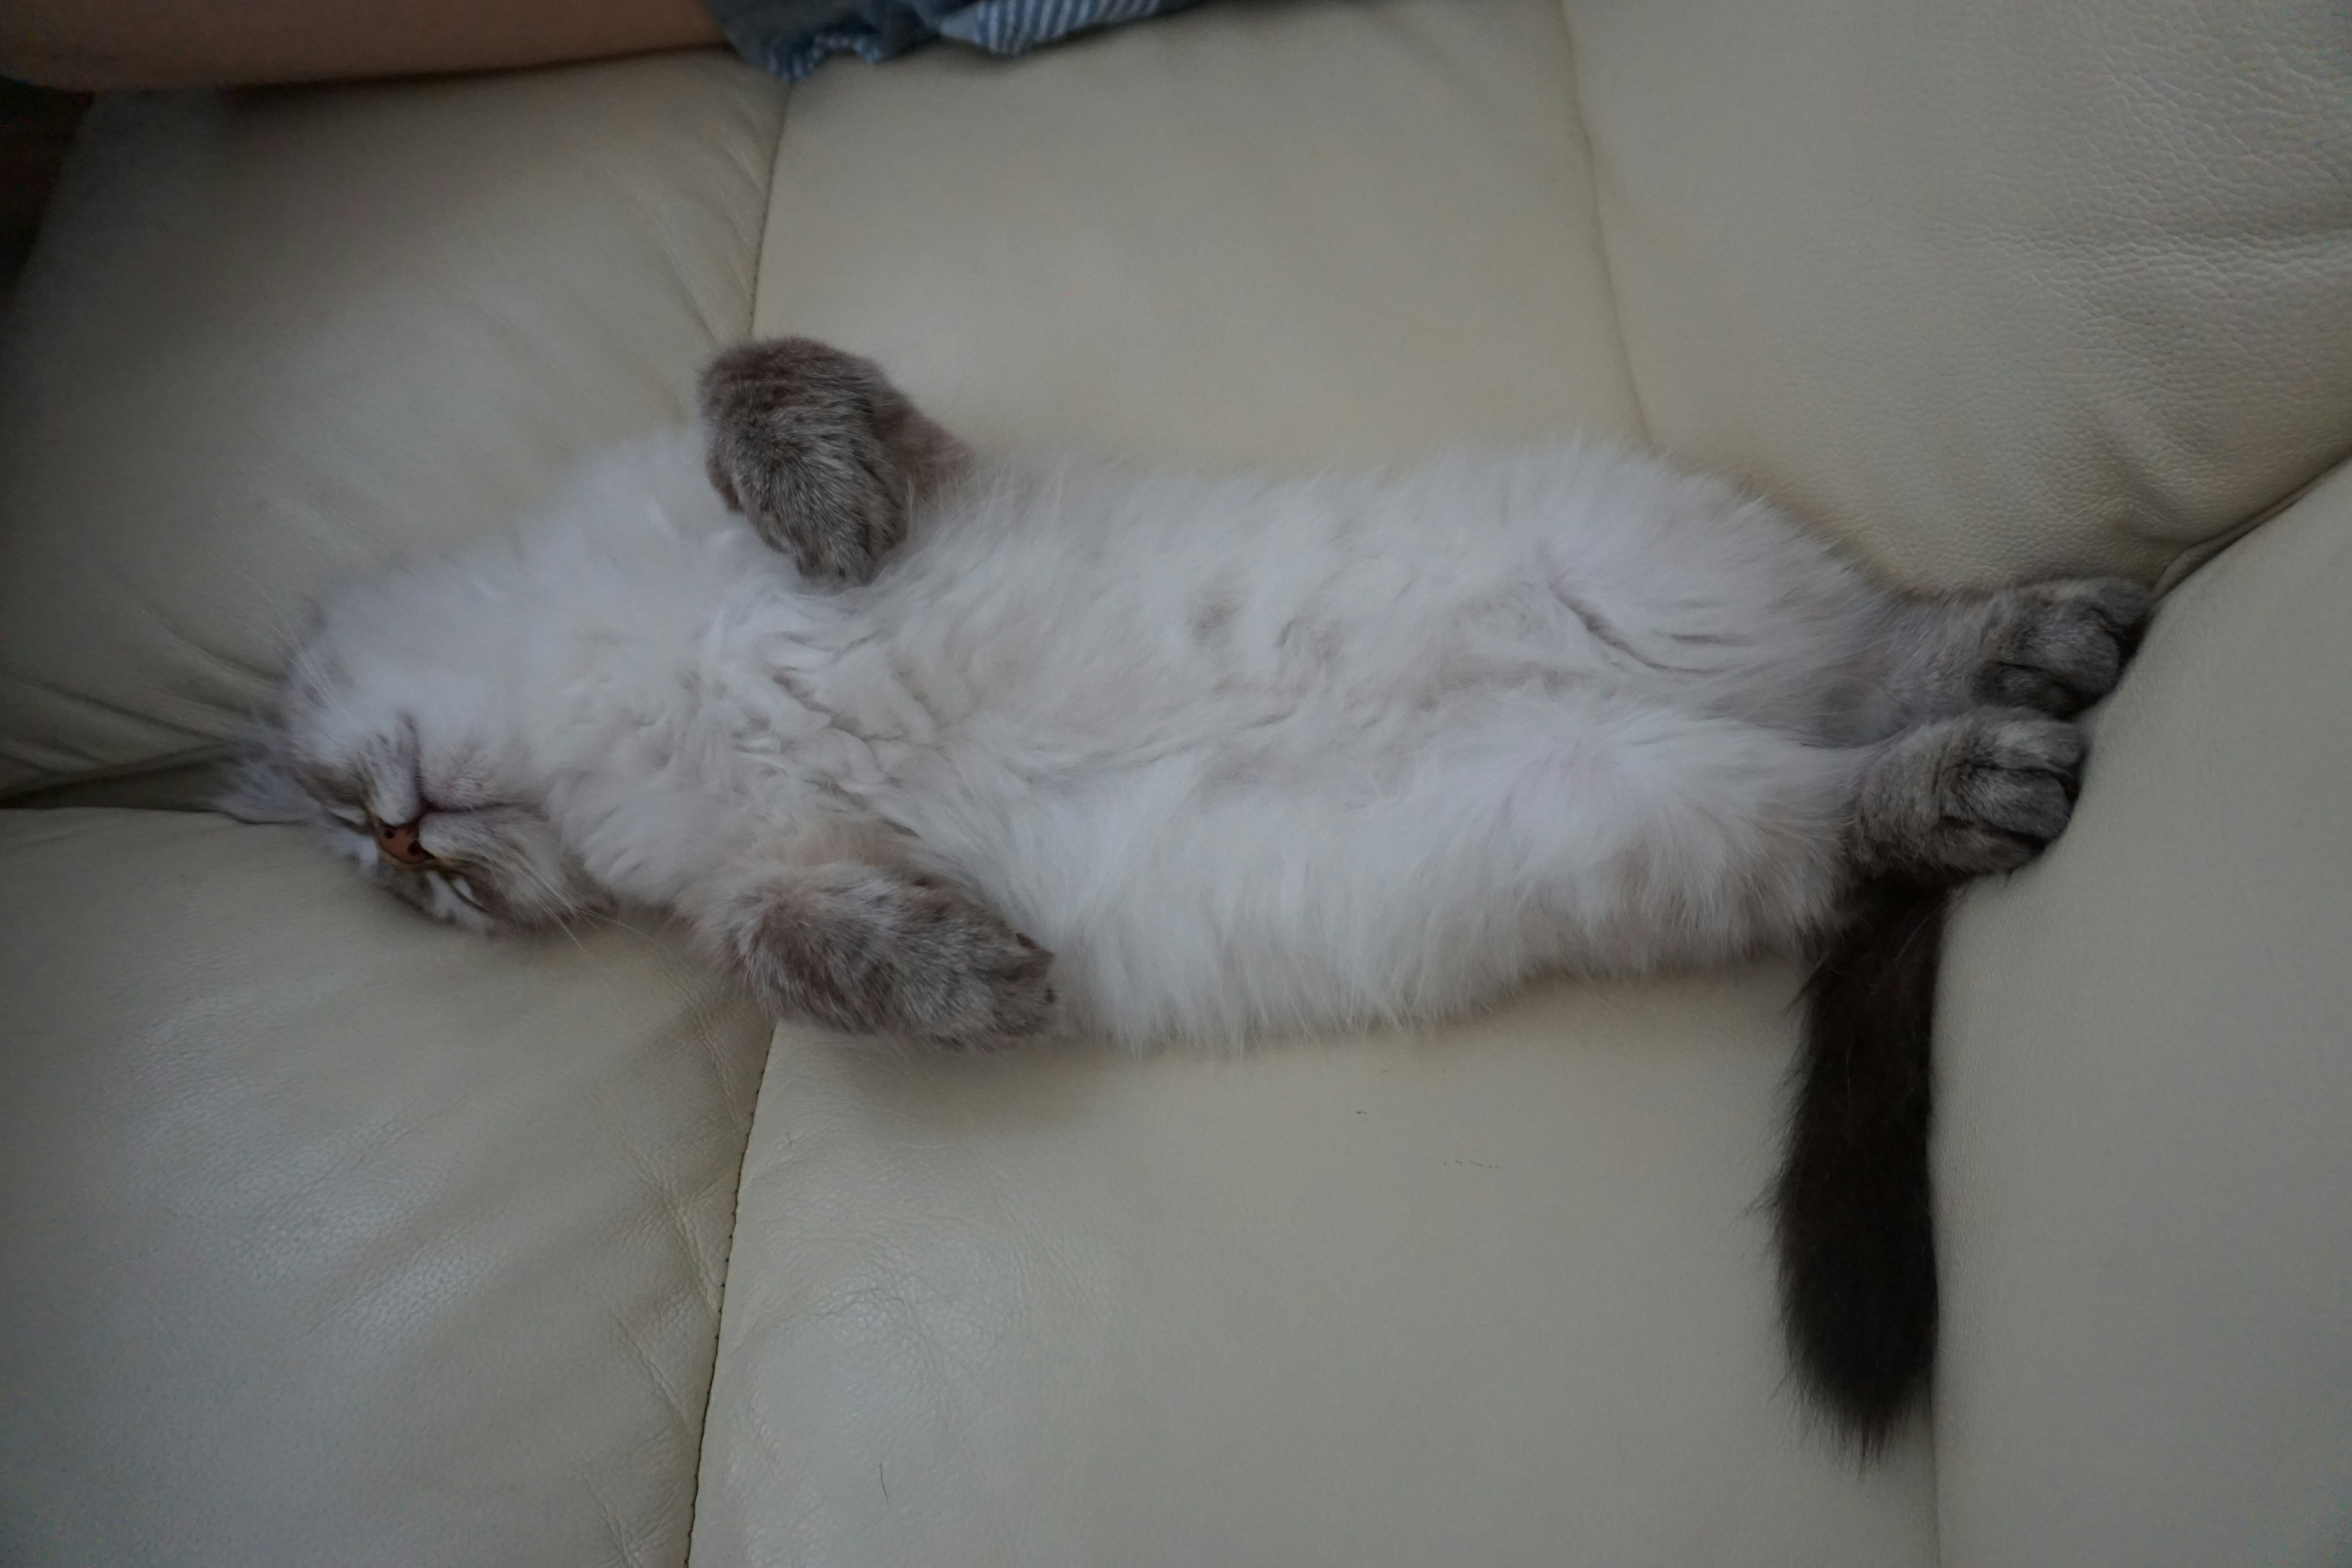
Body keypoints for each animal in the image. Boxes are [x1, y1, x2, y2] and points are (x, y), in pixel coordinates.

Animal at [221, 338, 2154, 1457]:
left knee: (1886, 656)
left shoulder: (865, 465)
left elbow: (754, 386)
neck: (584, 705)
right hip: (1625, 802)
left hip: (1635, 576)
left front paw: (819, 526)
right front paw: (991, 983)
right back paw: (2009, 744)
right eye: (398, 889)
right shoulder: (782, 882)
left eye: (353, 832)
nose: (401, 846)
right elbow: (824, 958)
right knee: (1852, 776)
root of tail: (1715, 714)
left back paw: (2054, 658)